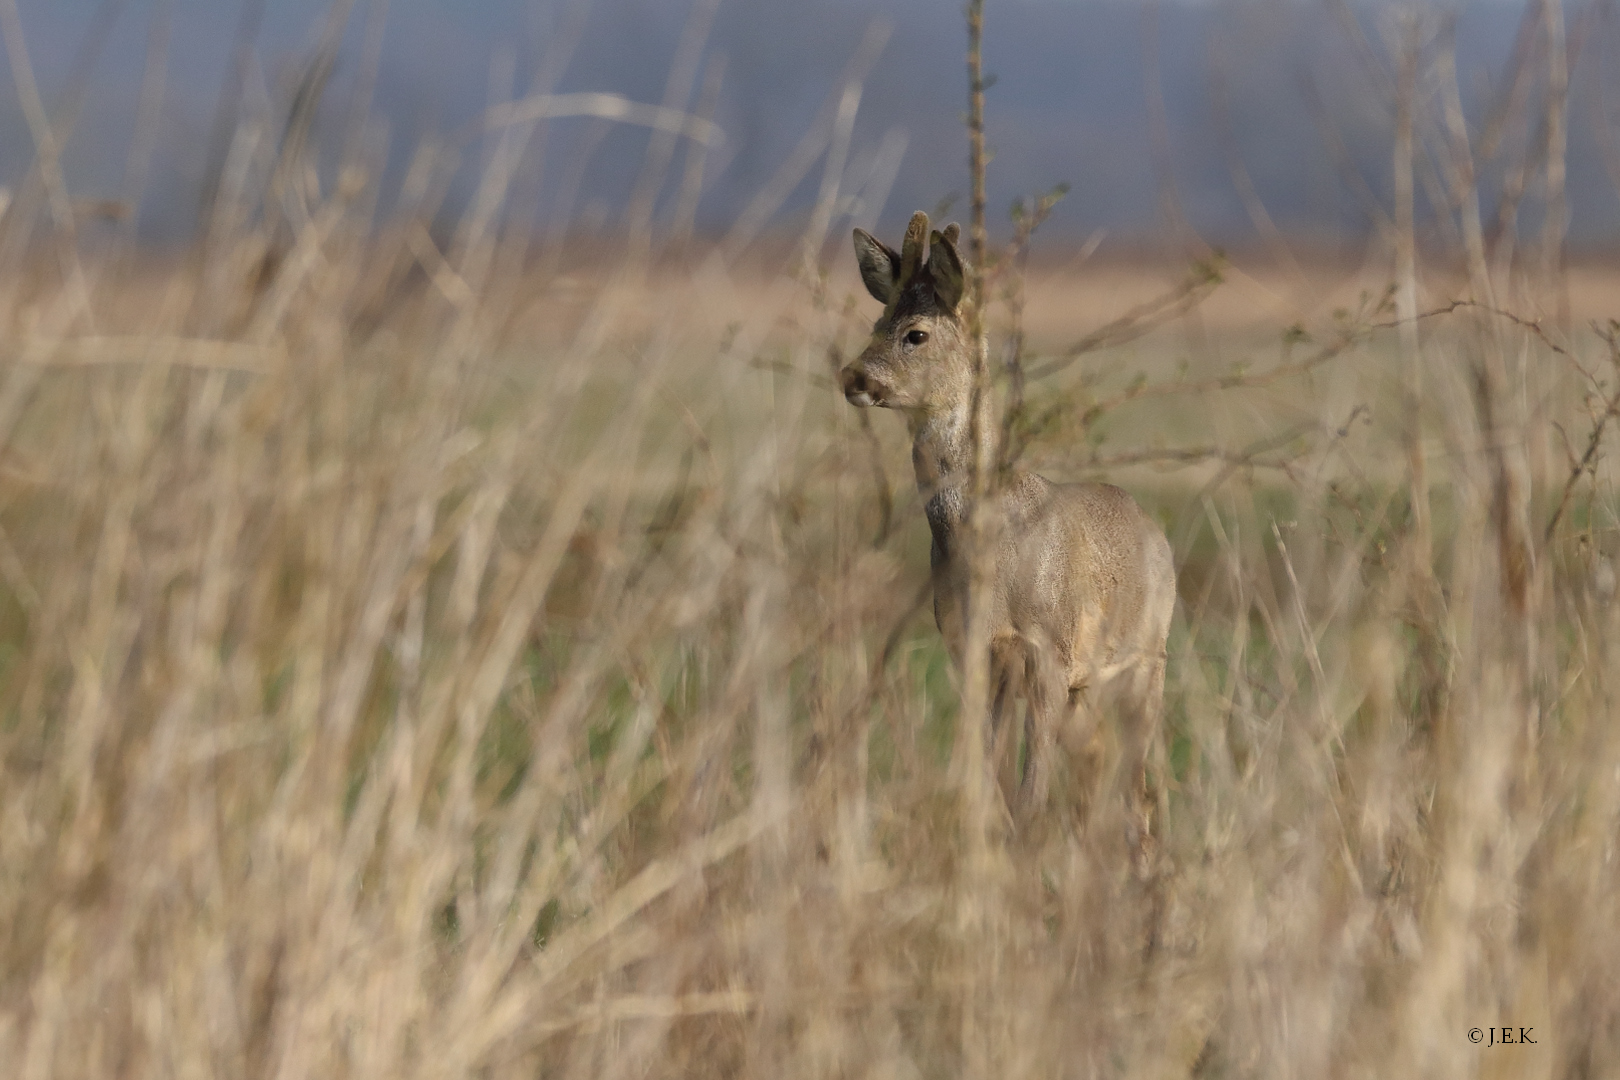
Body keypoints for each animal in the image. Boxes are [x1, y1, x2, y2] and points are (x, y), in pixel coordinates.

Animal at [835, 208, 1179, 854]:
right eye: (876, 321)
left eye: (915, 333)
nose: (852, 377)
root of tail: (1156, 531)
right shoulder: (970, 648)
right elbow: (988, 779)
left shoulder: (1047, 652)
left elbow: (1030, 795)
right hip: (1088, 689)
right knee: (1101, 782)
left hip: (1146, 661)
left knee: (1138, 793)